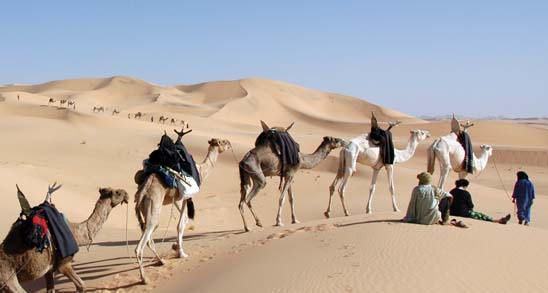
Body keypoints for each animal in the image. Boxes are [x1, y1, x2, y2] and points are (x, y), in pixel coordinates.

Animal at [135, 132, 233, 282]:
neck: (200, 171)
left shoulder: (178, 199)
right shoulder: (186, 197)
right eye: (222, 142)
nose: (229, 143)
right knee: (141, 244)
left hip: (143, 210)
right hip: (153, 206)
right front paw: (181, 253)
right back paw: (144, 279)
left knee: (149, 237)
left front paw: (177, 248)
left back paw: (161, 261)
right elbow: (181, 224)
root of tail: (143, 190)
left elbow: (184, 220)